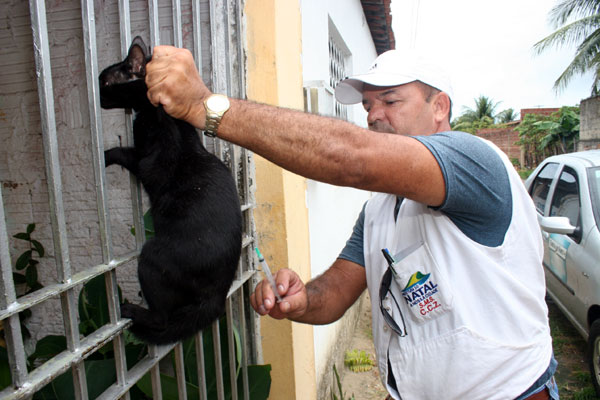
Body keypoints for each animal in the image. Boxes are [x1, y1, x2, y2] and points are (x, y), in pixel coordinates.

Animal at [101, 36, 244, 344]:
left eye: (106, 82)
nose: (97, 88)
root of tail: (217, 295)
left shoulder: (148, 160)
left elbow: (123, 152)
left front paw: (105, 155)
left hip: (152, 257)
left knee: (160, 319)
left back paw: (129, 309)